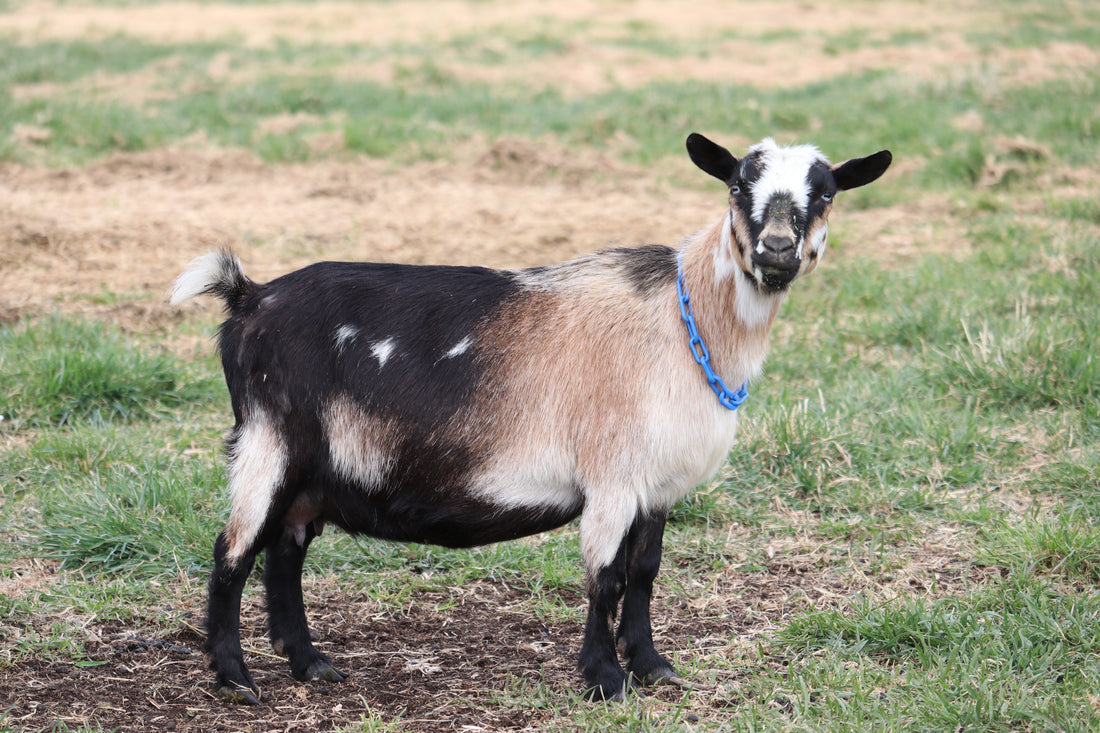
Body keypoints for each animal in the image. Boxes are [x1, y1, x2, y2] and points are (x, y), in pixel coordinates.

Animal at [170, 133, 891, 704]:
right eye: (739, 182)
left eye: (825, 193)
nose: (776, 248)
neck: (682, 322)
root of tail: (250, 297)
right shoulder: (611, 476)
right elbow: (605, 577)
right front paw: (605, 678)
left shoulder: (657, 484)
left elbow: (645, 571)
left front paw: (652, 666)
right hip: (270, 441)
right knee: (233, 551)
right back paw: (236, 679)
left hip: (309, 466)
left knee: (286, 551)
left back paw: (310, 664)